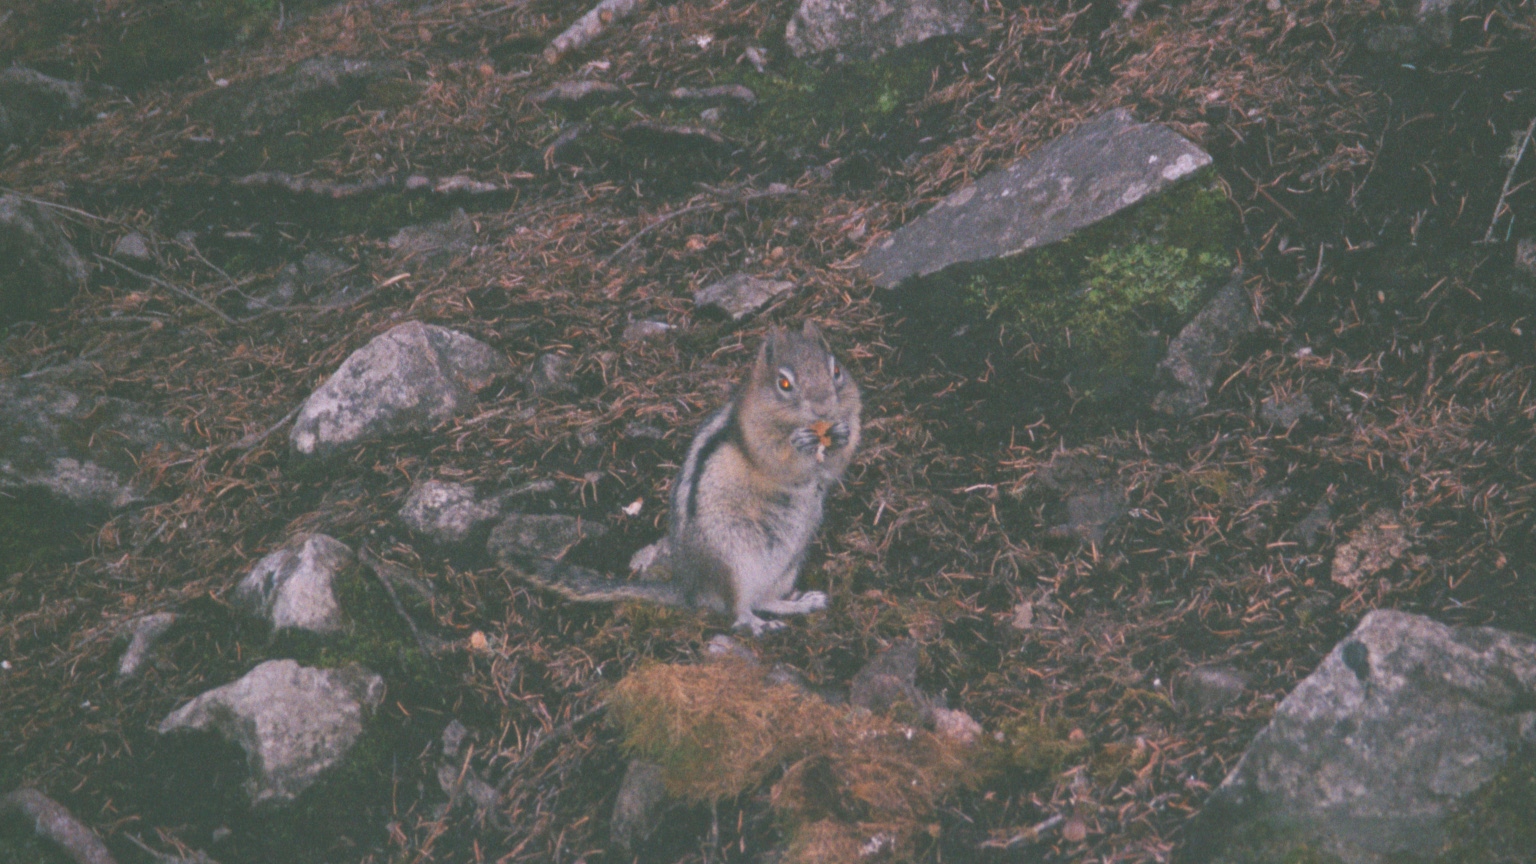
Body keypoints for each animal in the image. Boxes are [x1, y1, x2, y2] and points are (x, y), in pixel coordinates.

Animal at [503, 321, 861, 635]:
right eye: (784, 384)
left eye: (836, 371)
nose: (824, 409)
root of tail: (692, 589)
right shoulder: (757, 439)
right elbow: (777, 461)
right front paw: (798, 442)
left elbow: (835, 466)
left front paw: (842, 434)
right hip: (734, 565)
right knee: (738, 610)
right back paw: (758, 625)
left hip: (788, 565)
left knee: (766, 599)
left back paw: (801, 603)